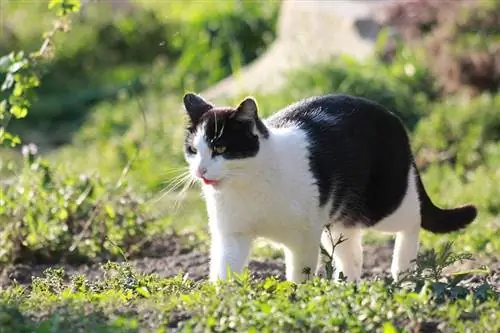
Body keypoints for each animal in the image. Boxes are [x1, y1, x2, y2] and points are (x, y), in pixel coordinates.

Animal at [182, 91, 478, 282]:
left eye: (220, 149)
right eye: (194, 150)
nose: (200, 170)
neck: (246, 185)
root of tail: (392, 117)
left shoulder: (302, 239)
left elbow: (299, 276)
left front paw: (295, 300)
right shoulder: (232, 235)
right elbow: (224, 272)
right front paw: (224, 303)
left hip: (383, 203)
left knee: (412, 219)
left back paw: (402, 270)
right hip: (336, 221)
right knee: (353, 253)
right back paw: (347, 287)